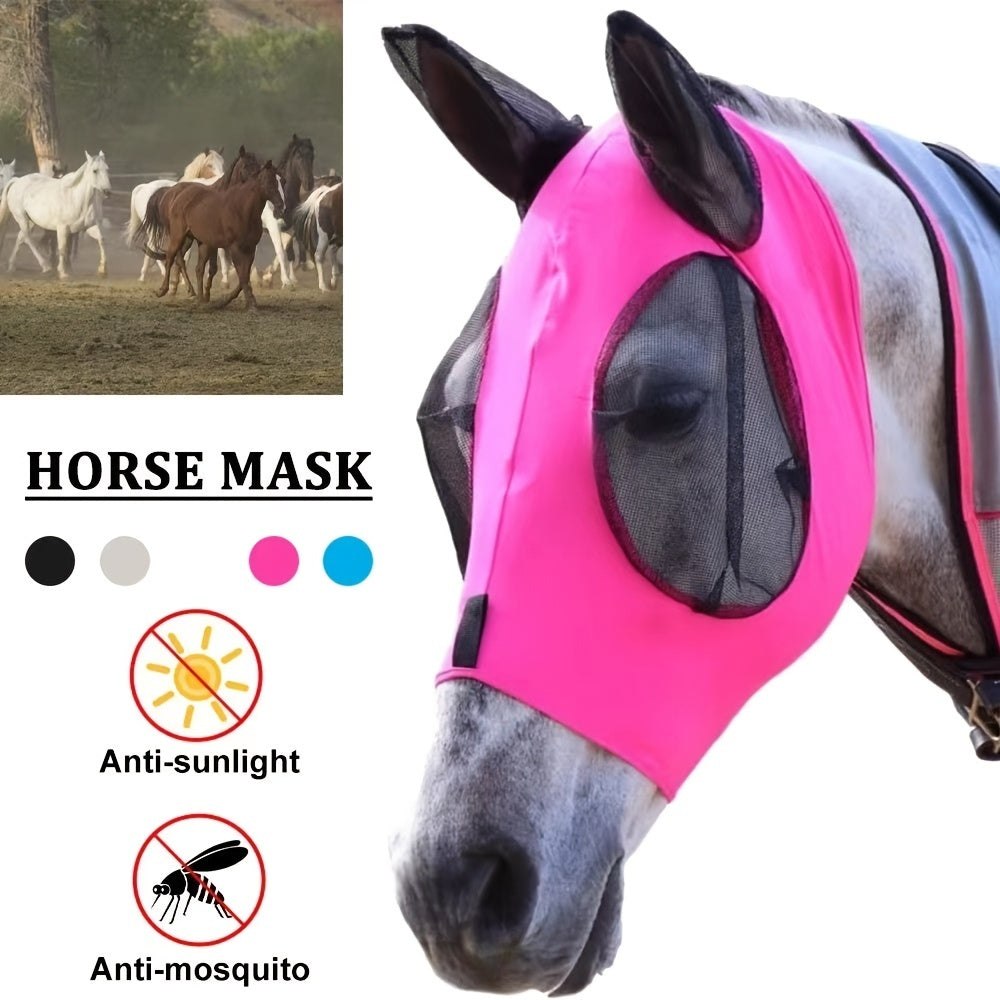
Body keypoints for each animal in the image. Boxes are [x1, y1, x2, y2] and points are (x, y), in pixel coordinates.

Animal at [125, 148, 226, 285]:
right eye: (209, 165)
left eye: (222, 163)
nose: (221, 176)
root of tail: (144, 187)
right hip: (154, 229)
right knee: (152, 246)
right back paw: (156, 273)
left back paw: (146, 275)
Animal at [141, 157, 284, 309]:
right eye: (270, 181)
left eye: (283, 181)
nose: (281, 206)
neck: (242, 210)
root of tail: (176, 194)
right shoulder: (234, 247)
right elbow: (242, 274)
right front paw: (249, 304)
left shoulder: (250, 248)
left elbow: (244, 275)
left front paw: (228, 299)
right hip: (178, 236)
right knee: (171, 257)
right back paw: (164, 290)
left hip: (199, 241)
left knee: (197, 267)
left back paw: (199, 298)